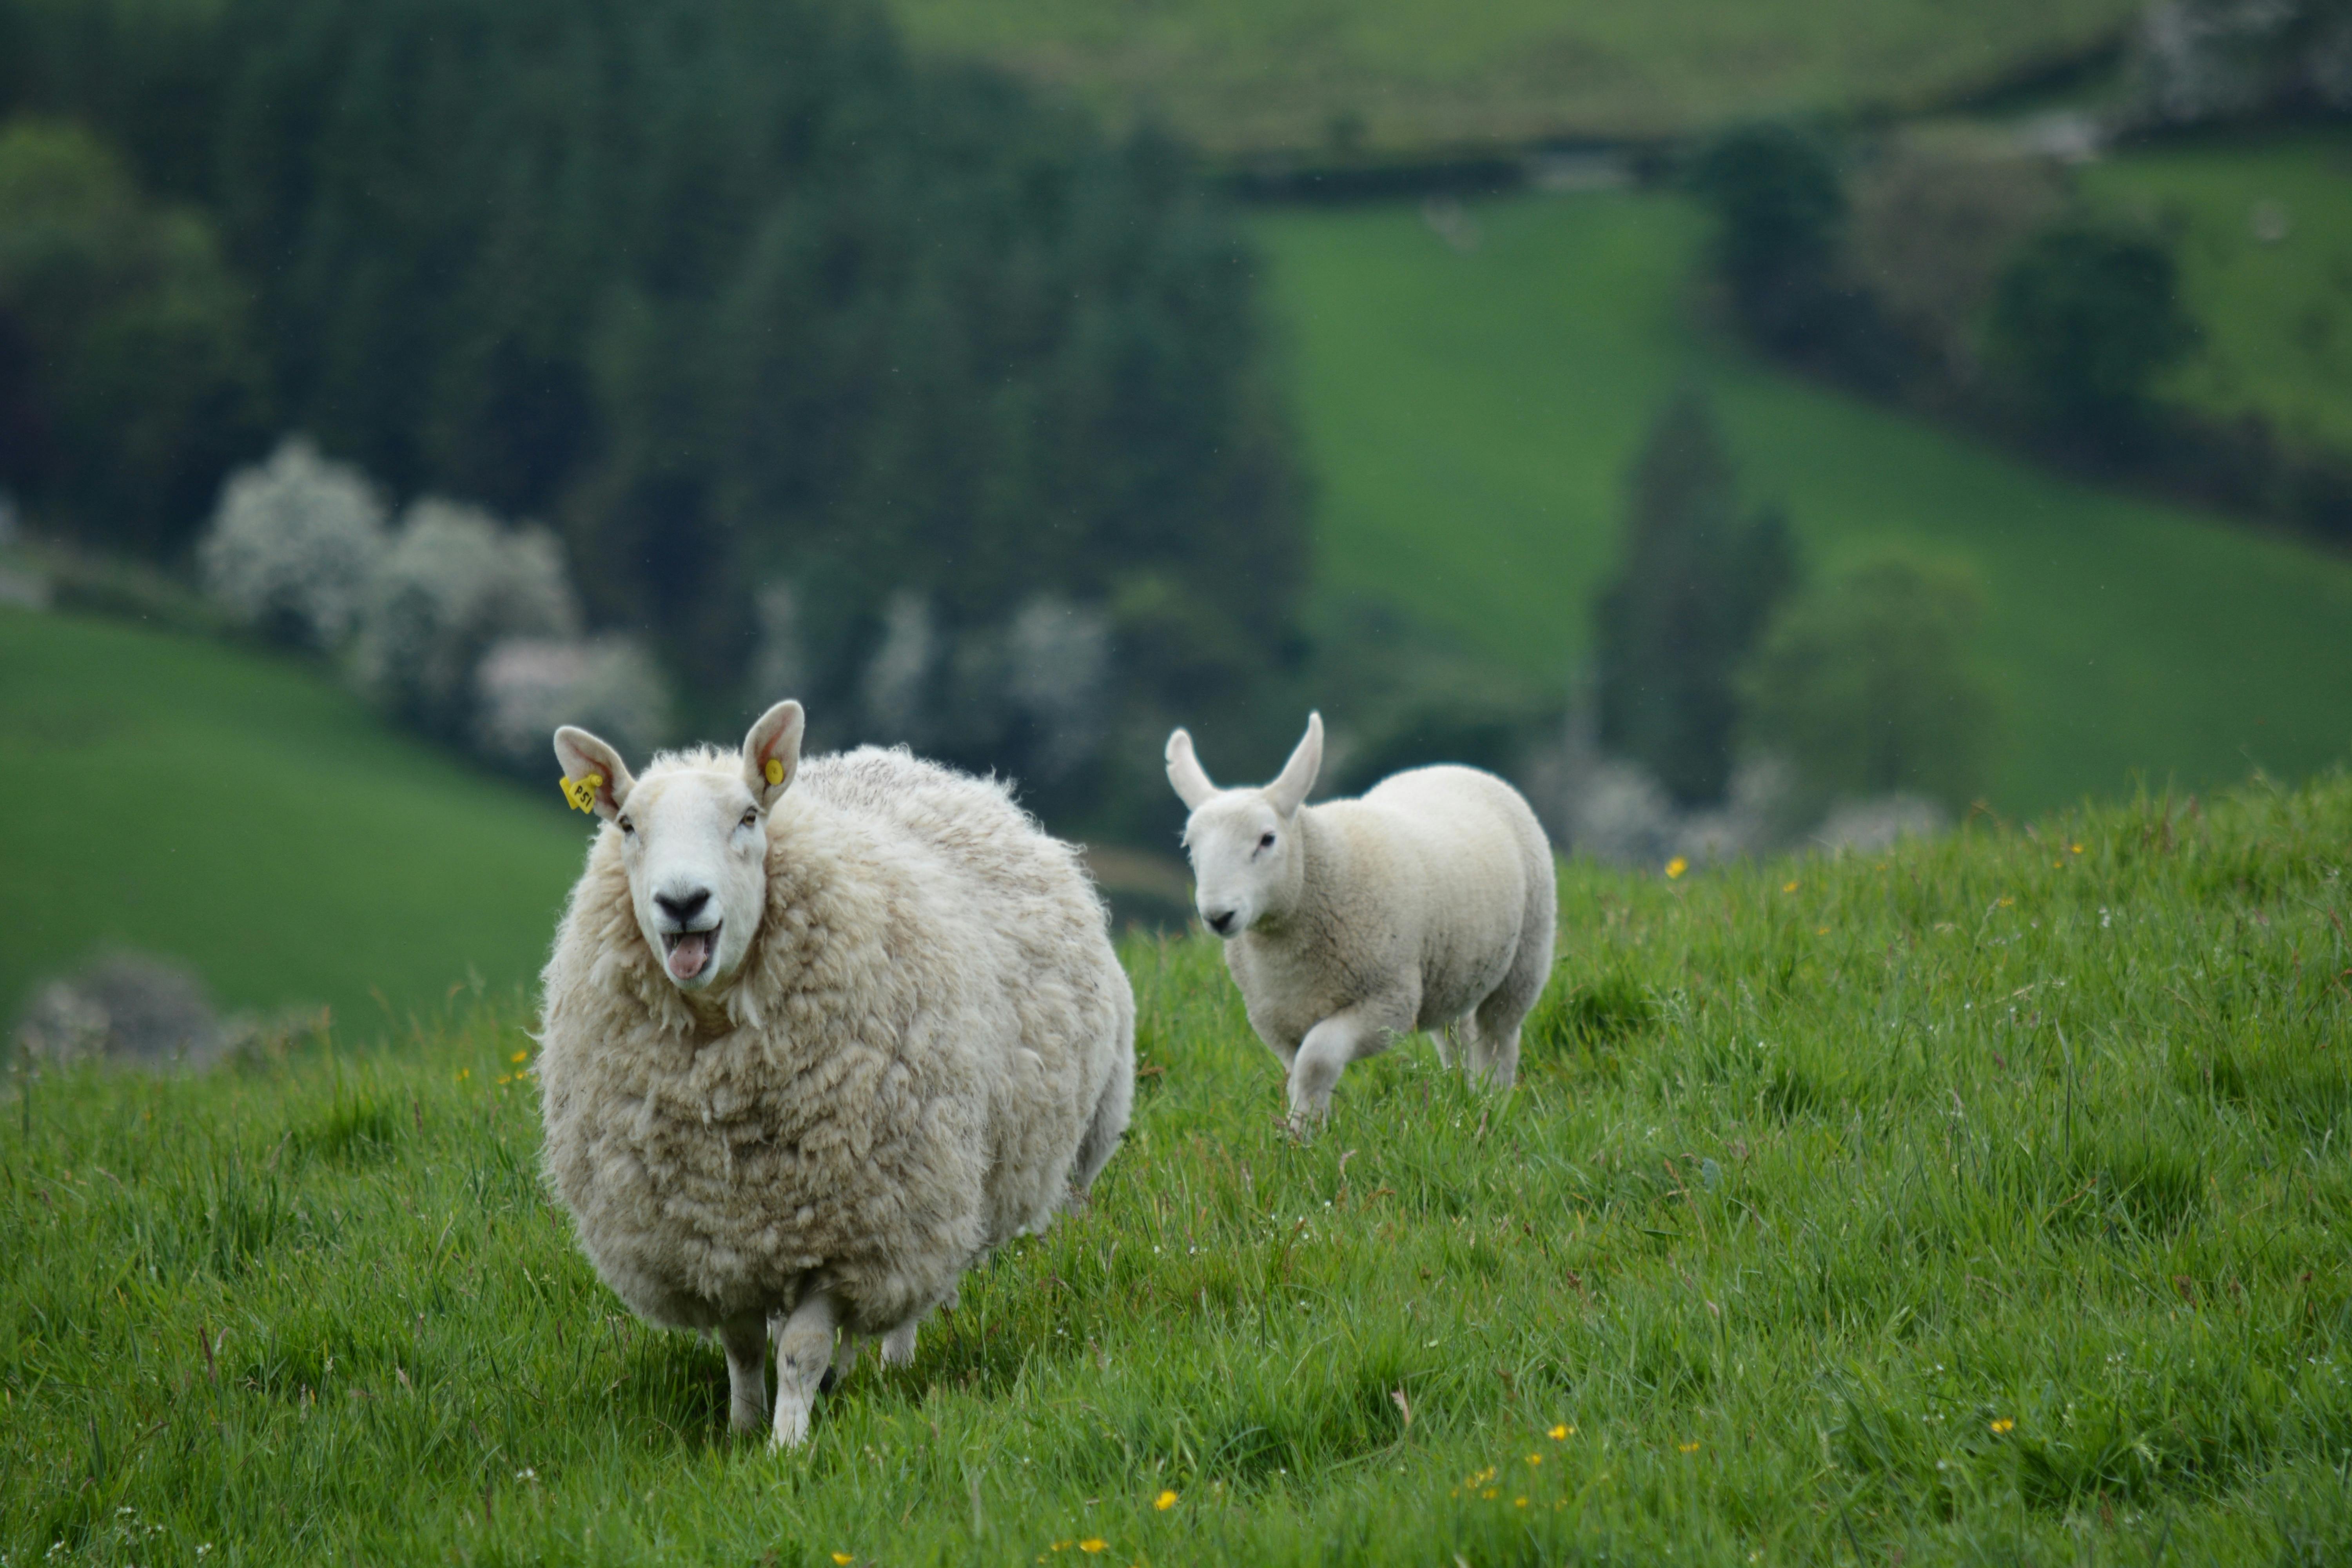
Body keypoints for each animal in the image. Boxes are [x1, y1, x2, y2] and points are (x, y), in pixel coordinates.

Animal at [536, 705, 1138, 1457]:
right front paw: (741, 1431)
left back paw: (890, 1368)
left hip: (931, 1190)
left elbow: (800, 1348)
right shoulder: (712, 1238)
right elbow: (744, 1347)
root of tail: (908, 763)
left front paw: (786, 1448)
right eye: (626, 825)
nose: (682, 901)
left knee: (911, 1294)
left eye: (747, 817)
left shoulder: (851, 1226)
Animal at [1162, 719, 1562, 1133]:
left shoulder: (1387, 1003)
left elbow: (1317, 1059)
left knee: (1499, 1036)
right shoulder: (1276, 1022)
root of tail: (1451, 768)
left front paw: (1303, 1133)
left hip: (1526, 956)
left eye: (1267, 839)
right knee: (1456, 1034)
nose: (1217, 915)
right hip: (1453, 970)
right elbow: (1298, 1074)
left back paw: (1493, 1102)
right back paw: (1462, 1100)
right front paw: (1305, 1130)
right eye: (1190, 847)